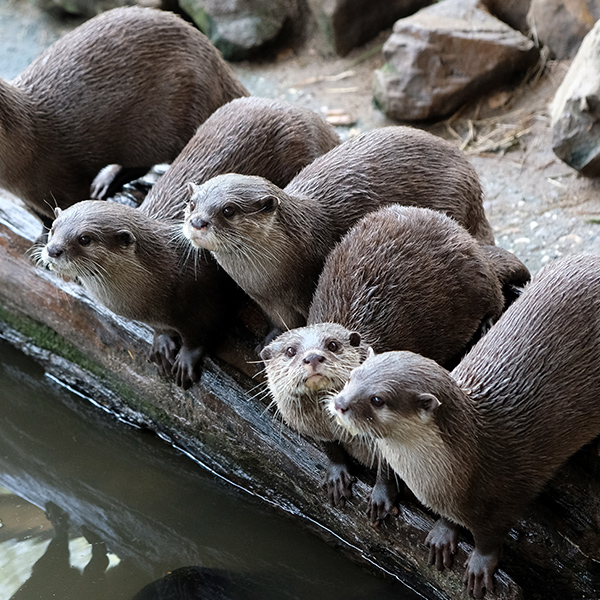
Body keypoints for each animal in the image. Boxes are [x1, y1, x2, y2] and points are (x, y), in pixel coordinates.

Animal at [183, 126, 496, 336]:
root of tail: (474, 182)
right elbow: (281, 324)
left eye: (228, 210)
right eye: (192, 204)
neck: (270, 281)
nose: (198, 222)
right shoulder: (268, 303)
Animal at [262, 209, 506, 524]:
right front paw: (336, 474)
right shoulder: (312, 428)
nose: (313, 357)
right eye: (291, 351)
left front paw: (381, 496)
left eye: (332, 344)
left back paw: (488, 324)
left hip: (477, 275)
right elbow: (329, 448)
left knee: (497, 296)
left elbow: (388, 467)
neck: (336, 426)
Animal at [328, 254, 600, 600]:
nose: (340, 403)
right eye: (353, 375)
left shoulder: (501, 499)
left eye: (378, 399)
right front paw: (444, 533)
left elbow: (490, 536)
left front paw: (480, 566)